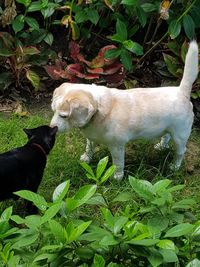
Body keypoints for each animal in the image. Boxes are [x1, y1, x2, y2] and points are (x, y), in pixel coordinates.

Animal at [50, 40, 198, 181]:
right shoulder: (91, 136)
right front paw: (86, 158)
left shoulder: (117, 146)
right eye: (53, 110)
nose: (52, 128)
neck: (99, 108)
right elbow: (89, 146)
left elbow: (118, 163)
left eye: (64, 116)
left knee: (180, 152)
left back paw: (174, 166)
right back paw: (162, 146)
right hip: (168, 128)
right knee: (166, 136)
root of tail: (181, 91)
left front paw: (117, 177)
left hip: (180, 135)